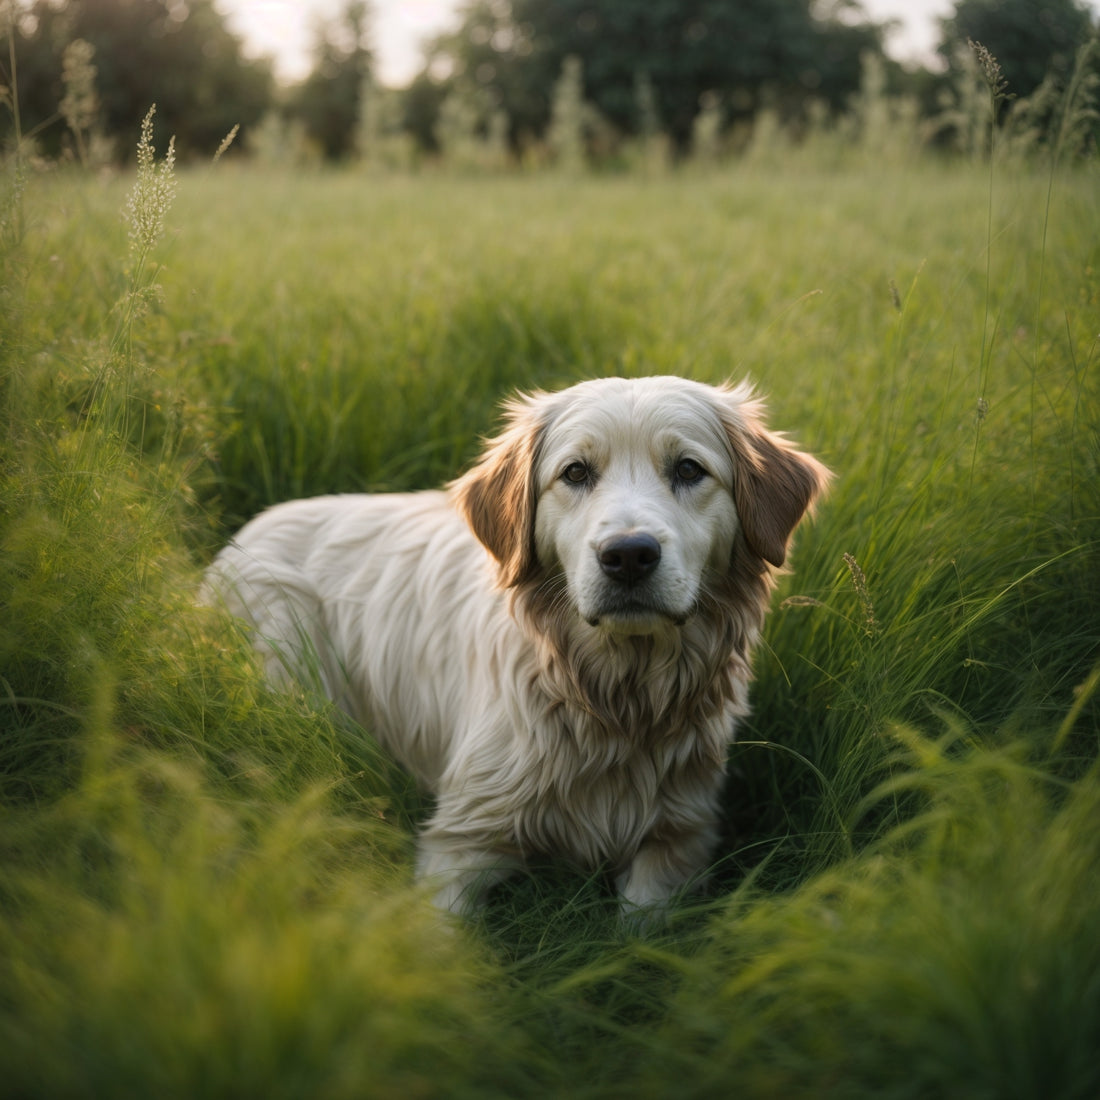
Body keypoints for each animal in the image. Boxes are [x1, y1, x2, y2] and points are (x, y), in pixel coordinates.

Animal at [202, 378, 827, 919]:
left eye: (689, 469)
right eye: (575, 472)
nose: (628, 555)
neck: (612, 698)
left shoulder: (684, 833)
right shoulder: (460, 837)